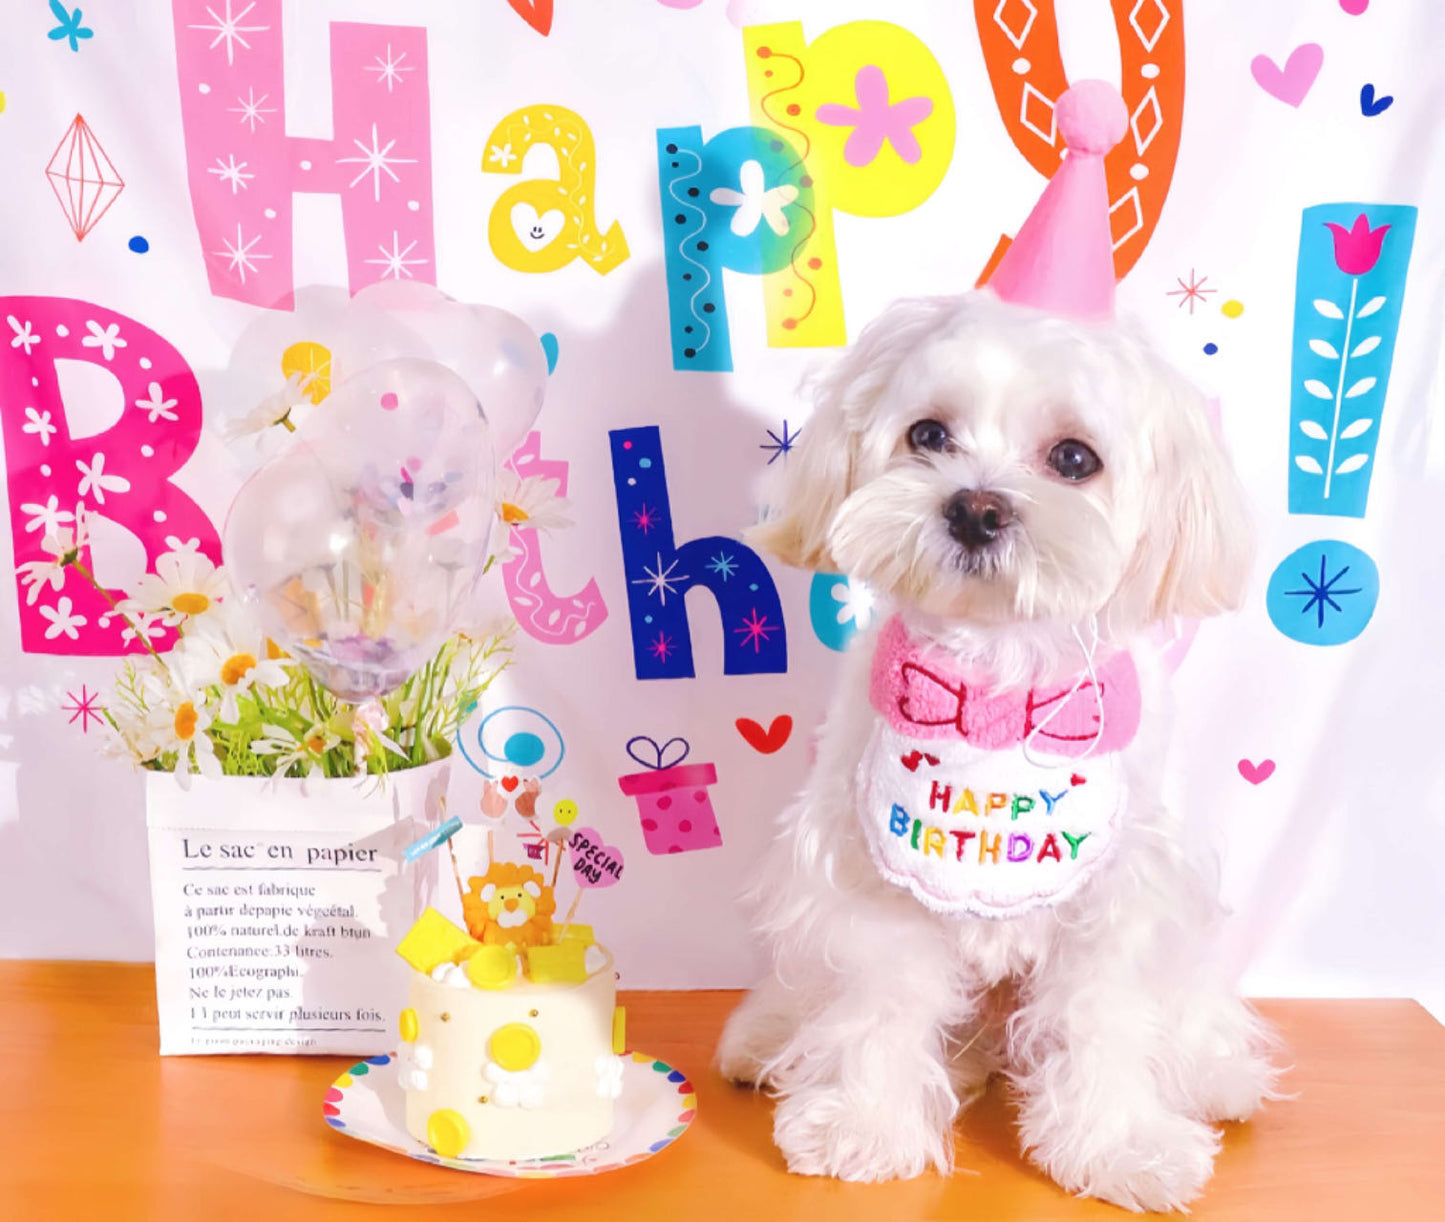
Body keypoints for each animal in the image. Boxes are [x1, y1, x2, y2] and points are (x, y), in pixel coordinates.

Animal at [719, 288, 1277, 1213]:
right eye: (927, 434)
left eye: (1074, 458)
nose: (975, 508)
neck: (993, 701)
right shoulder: (871, 886)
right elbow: (877, 1004)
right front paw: (862, 1123)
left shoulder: (1120, 903)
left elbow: (1105, 1020)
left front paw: (1119, 1145)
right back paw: (771, 1038)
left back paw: (1214, 1074)